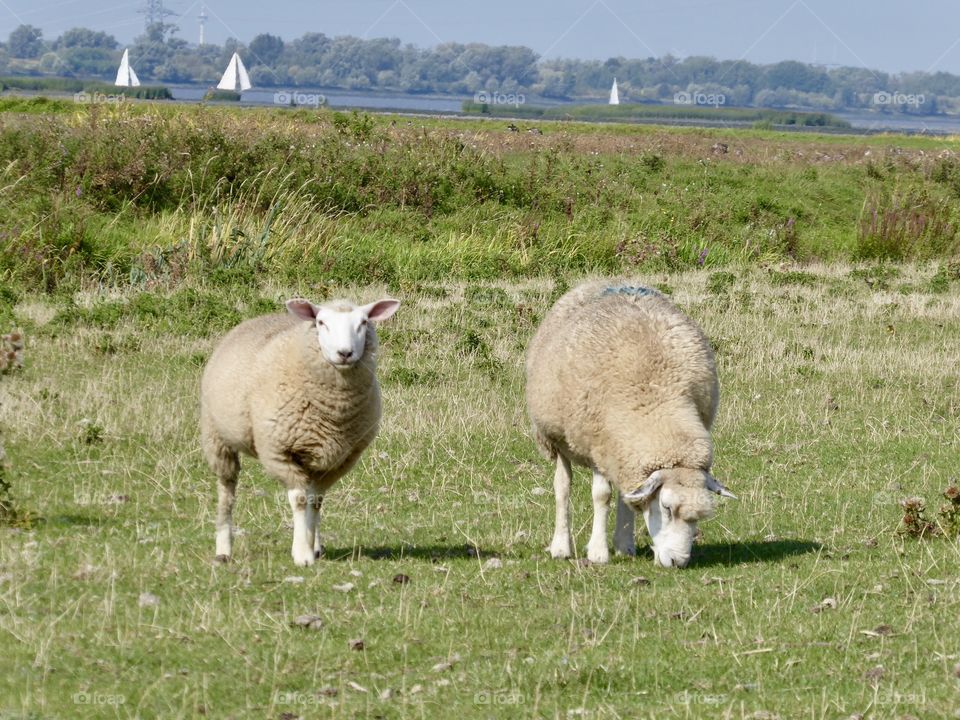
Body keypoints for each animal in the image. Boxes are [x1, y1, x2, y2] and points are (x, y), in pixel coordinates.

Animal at [200, 296, 400, 566]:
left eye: (363, 322)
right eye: (321, 322)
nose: (345, 353)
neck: (333, 410)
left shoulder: (340, 459)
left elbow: (315, 502)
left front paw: (310, 544)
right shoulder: (279, 452)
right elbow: (300, 500)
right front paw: (302, 554)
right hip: (217, 437)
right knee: (227, 490)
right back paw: (223, 549)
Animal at [525, 280, 735, 568]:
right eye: (666, 507)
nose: (678, 561)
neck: (655, 401)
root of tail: (599, 280)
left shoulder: (622, 450)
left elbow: (628, 495)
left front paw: (623, 545)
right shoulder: (599, 443)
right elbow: (601, 496)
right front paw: (598, 552)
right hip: (557, 438)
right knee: (563, 487)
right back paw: (561, 546)